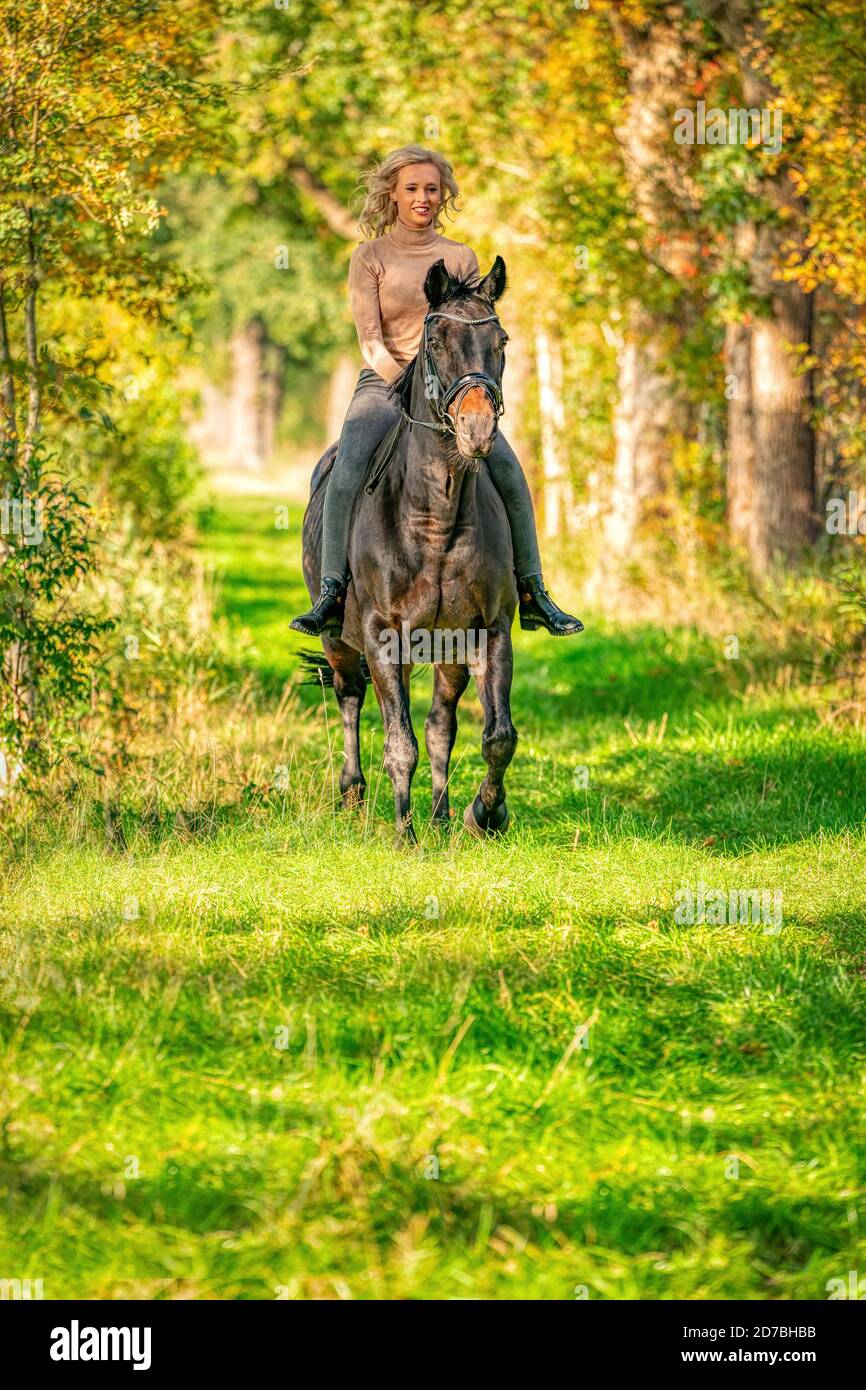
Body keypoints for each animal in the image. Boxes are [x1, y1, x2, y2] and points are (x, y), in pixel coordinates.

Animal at [299, 255, 517, 843]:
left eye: (501, 342)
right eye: (435, 340)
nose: (477, 430)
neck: (434, 519)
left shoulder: (488, 630)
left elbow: (497, 737)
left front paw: (484, 815)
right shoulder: (381, 635)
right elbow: (399, 743)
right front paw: (404, 834)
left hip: (449, 651)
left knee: (442, 725)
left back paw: (441, 814)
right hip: (339, 639)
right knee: (349, 696)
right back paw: (354, 795)